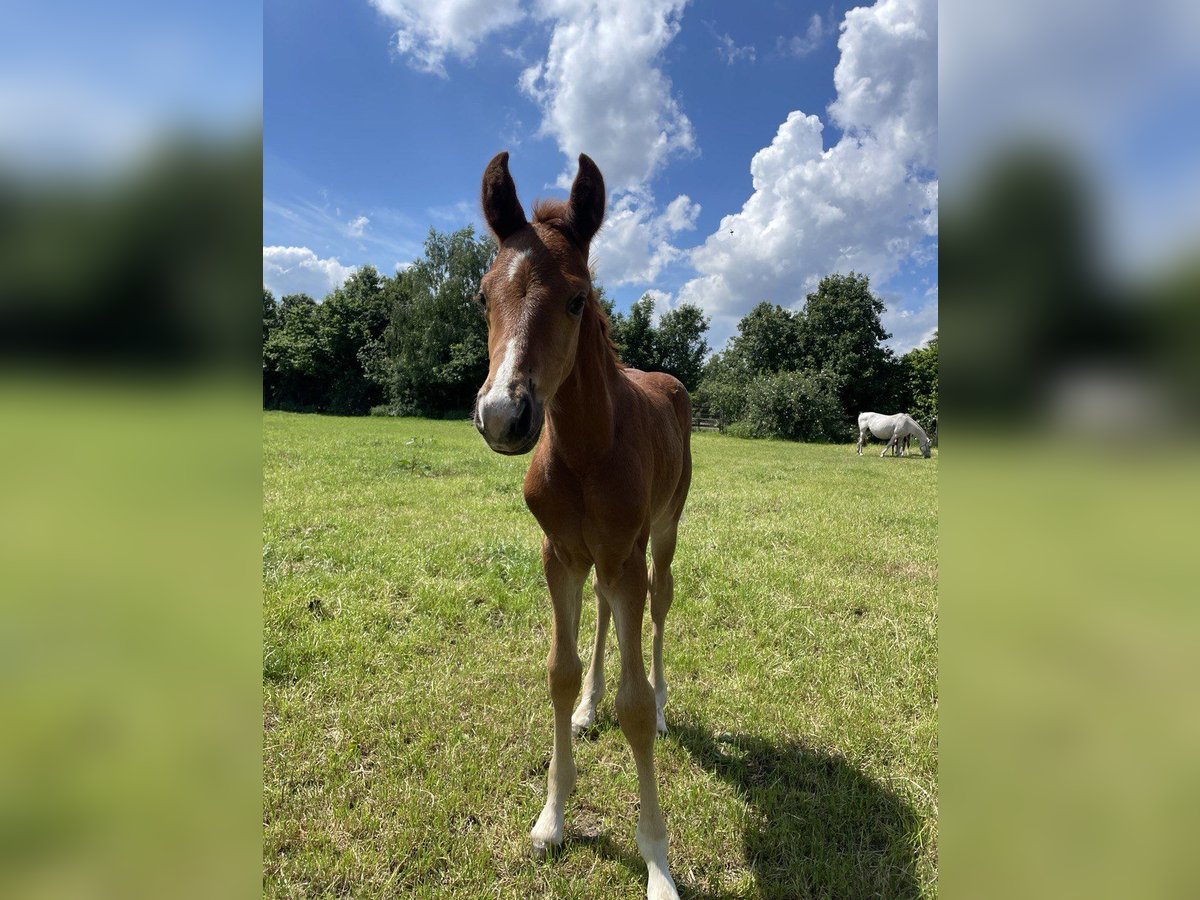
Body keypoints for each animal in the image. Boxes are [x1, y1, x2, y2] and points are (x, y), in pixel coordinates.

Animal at [470, 151, 691, 897]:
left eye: (575, 299)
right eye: (483, 297)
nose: (503, 415)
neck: (588, 448)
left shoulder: (625, 555)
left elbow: (634, 703)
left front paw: (657, 862)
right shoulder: (559, 553)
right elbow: (560, 674)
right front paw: (551, 820)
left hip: (661, 535)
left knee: (659, 607)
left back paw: (663, 703)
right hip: (599, 559)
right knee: (600, 612)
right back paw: (591, 708)